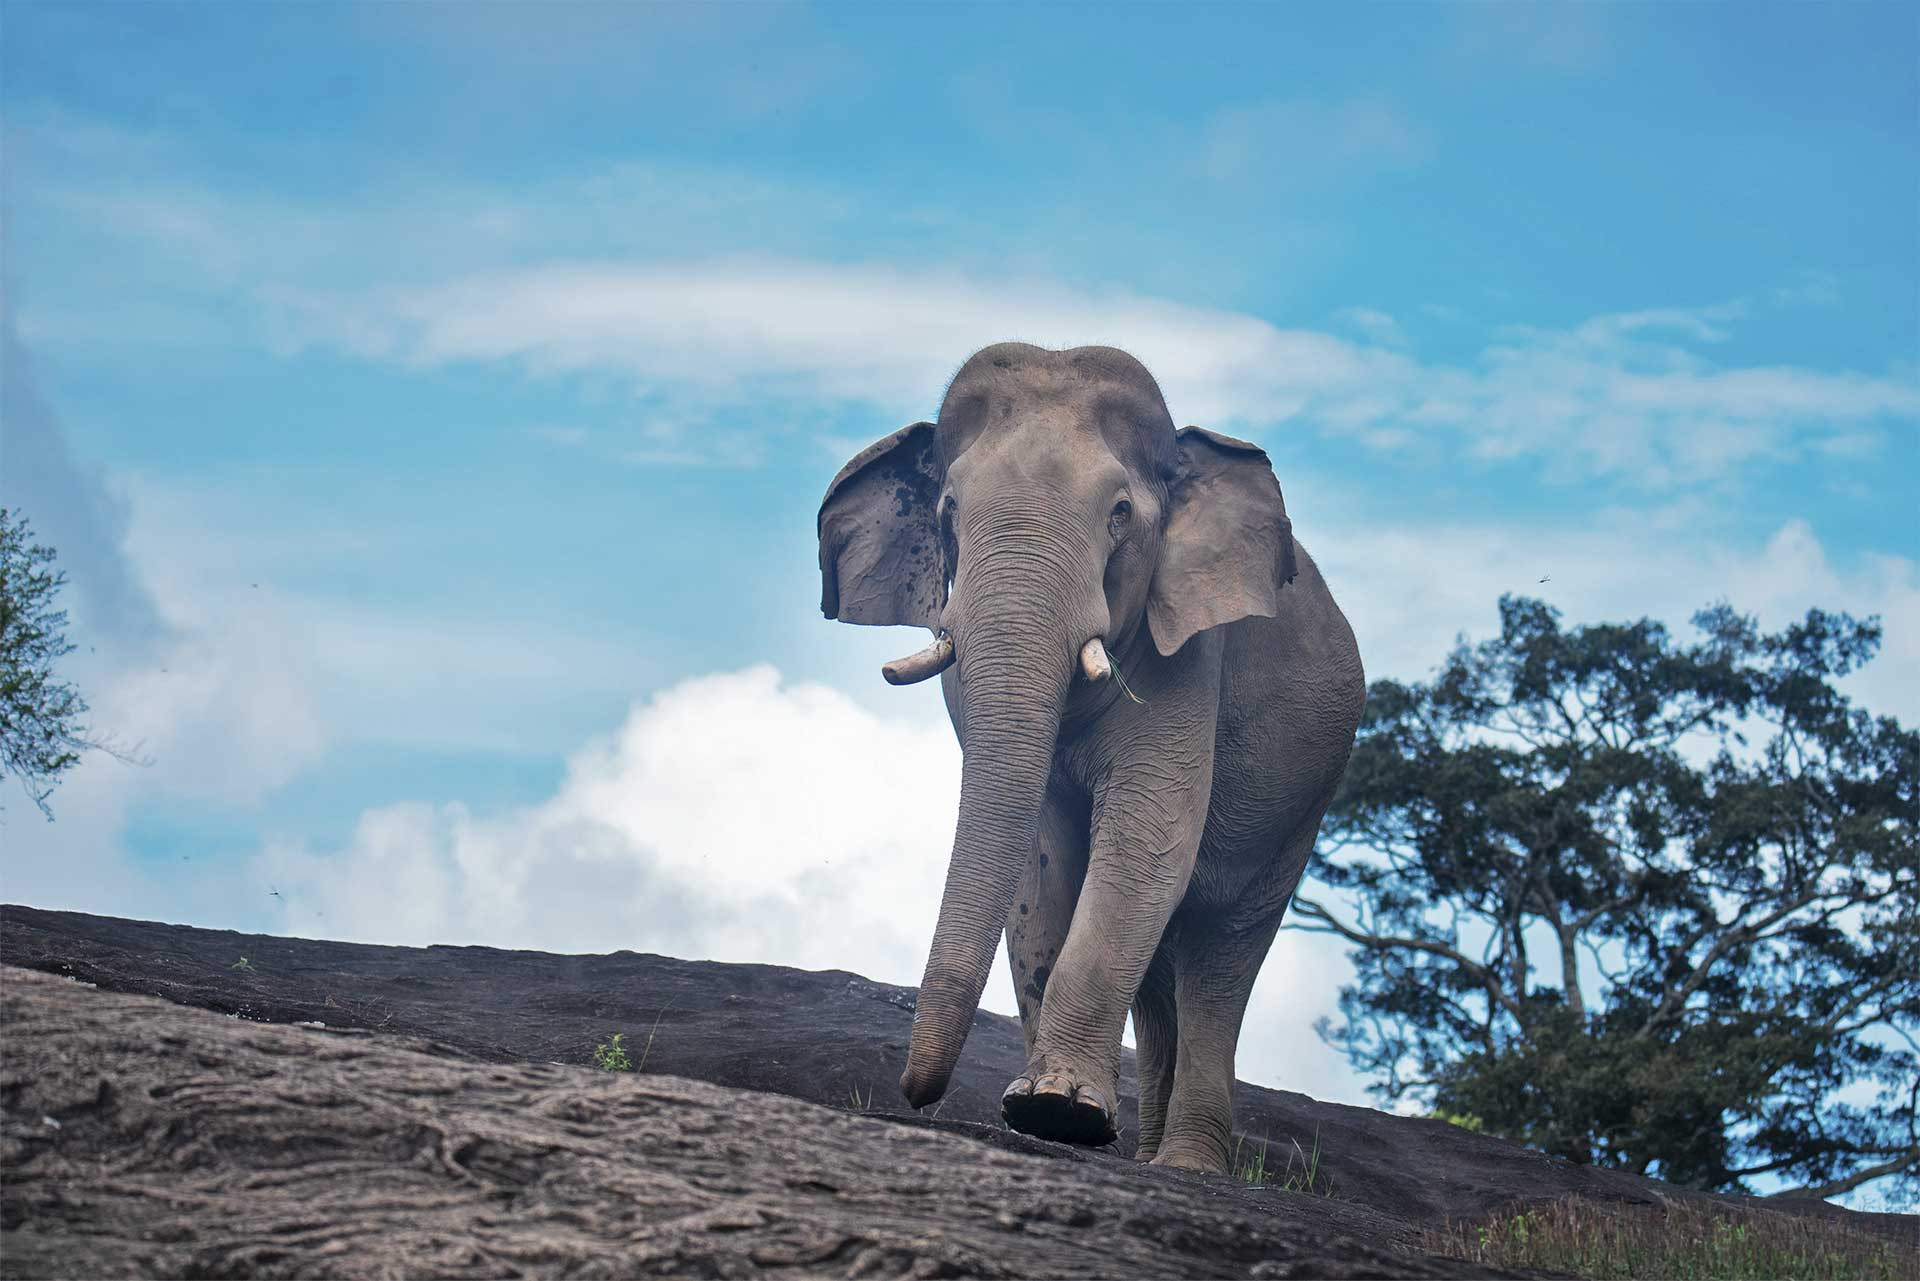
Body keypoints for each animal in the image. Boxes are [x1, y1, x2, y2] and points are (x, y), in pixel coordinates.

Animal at [816, 343, 1364, 1173]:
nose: (913, 1094)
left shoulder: (1189, 657)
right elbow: (1041, 857)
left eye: (1120, 514)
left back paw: (1185, 1165)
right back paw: (1145, 1155)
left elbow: (1148, 840)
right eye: (947, 510)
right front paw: (1049, 1112)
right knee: (1166, 971)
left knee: (1221, 948)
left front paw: (1056, 1109)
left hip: (1305, 805)